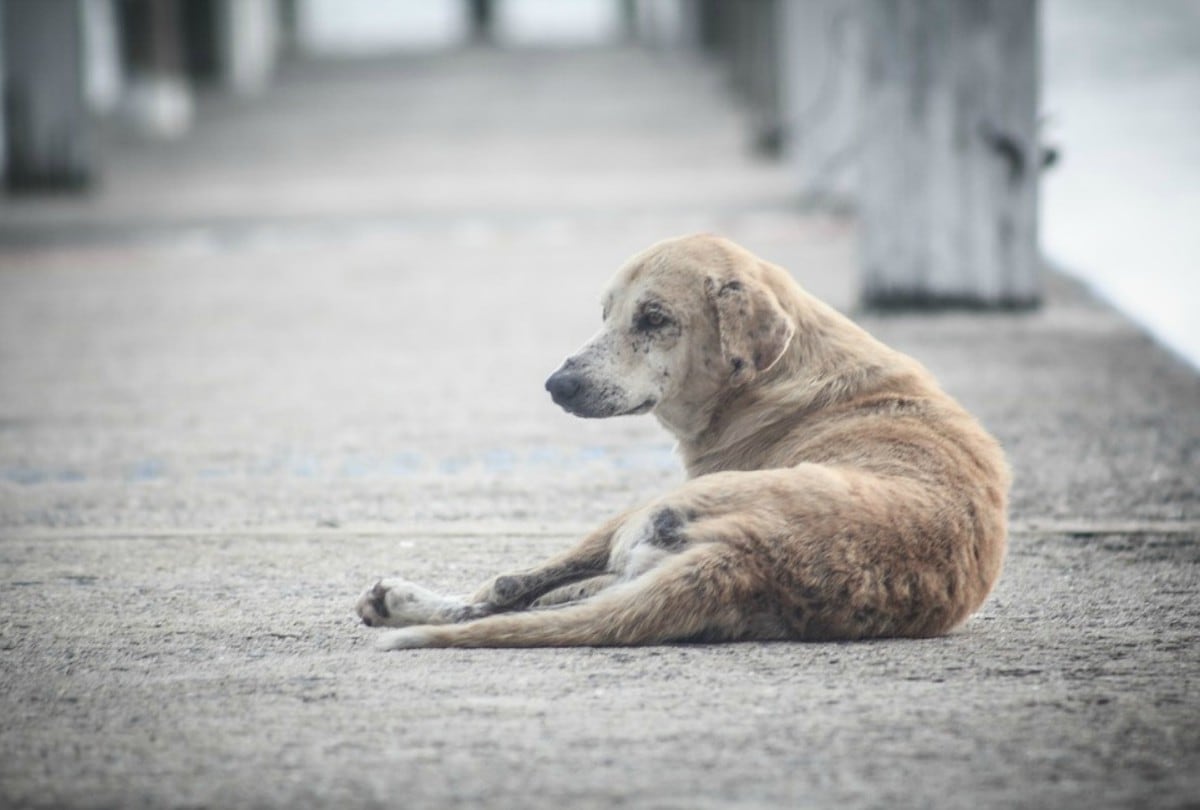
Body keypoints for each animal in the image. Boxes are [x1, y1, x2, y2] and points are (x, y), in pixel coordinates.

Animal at [357, 234, 1012, 652]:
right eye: (606, 313)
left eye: (654, 319)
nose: (556, 385)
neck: (778, 373)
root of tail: (746, 559)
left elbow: (512, 583)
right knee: (558, 601)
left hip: (644, 514)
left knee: (507, 594)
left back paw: (402, 603)